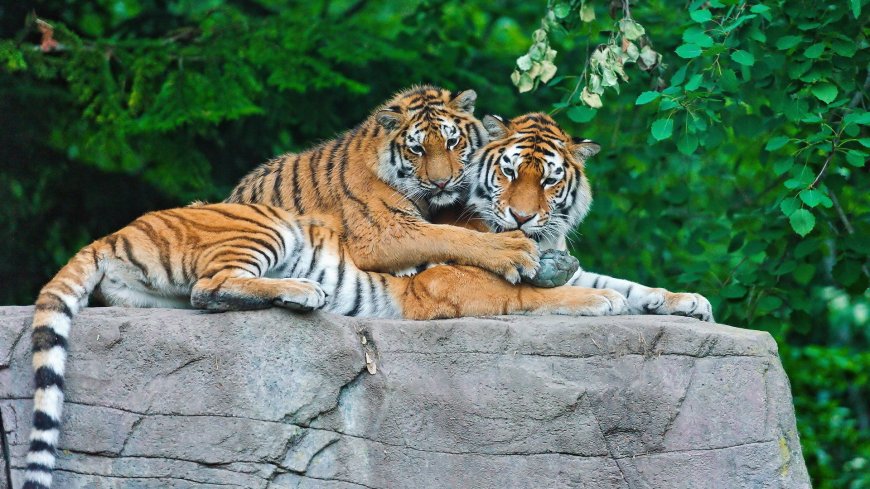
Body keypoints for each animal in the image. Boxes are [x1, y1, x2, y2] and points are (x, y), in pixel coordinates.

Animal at [23, 200, 627, 489]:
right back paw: (303, 292)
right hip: (265, 228)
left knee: (201, 298)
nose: (567, 254)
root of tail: (113, 233)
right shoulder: (452, 289)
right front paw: (600, 301)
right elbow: (533, 295)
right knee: (210, 287)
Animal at [450, 112, 714, 321]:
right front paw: (604, 299)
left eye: (549, 181)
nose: (521, 217)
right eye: (509, 172)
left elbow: (626, 285)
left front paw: (688, 300)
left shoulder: (575, 272)